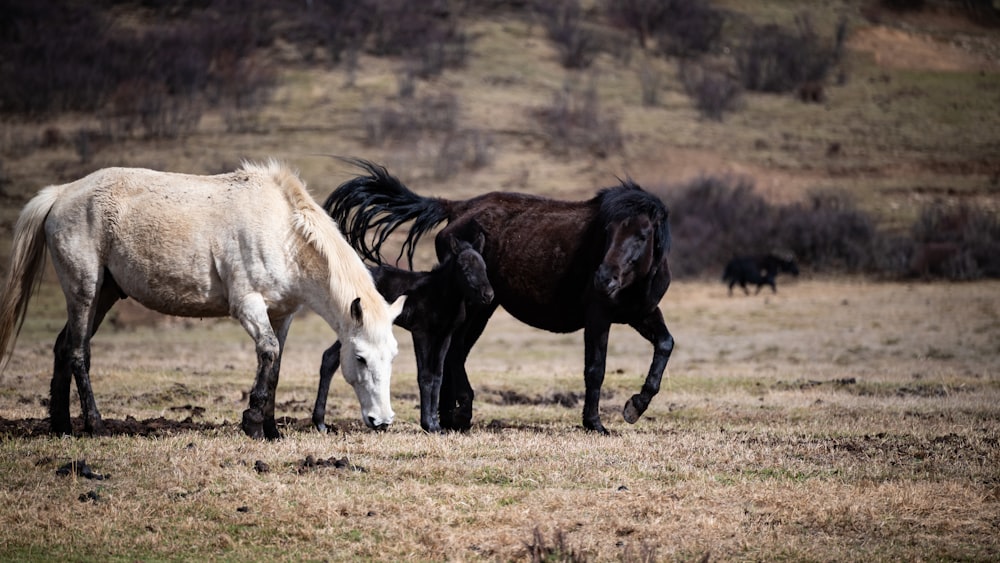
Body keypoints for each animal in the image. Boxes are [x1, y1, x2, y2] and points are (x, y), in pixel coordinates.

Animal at [1, 161, 406, 438]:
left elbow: (276, 363)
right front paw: (252, 423)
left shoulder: (283, 314)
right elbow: (268, 353)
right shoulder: (248, 306)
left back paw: (61, 426)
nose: (382, 420)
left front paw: (271, 429)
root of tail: (61, 194)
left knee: (62, 346)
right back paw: (95, 425)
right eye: (359, 357)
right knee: (78, 352)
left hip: (104, 294)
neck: (283, 233)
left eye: (392, 357)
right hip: (84, 289)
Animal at [312, 232, 492, 432]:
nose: (488, 295)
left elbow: (437, 375)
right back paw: (320, 422)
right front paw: (428, 424)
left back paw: (321, 422)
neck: (440, 295)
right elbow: (424, 375)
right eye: (464, 268)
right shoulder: (421, 332)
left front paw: (436, 425)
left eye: (484, 267)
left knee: (330, 357)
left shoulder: (444, 336)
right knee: (329, 357)